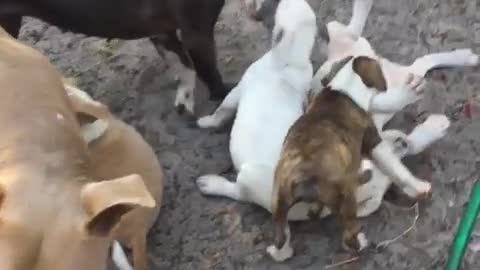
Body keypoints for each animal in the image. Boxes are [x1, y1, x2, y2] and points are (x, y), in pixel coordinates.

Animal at [0, 0, 232, 114]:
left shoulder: (162, 32)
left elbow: (185, 65)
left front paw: (184, 99)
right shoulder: (196, 32)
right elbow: (211, 73)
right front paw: (226, 96)